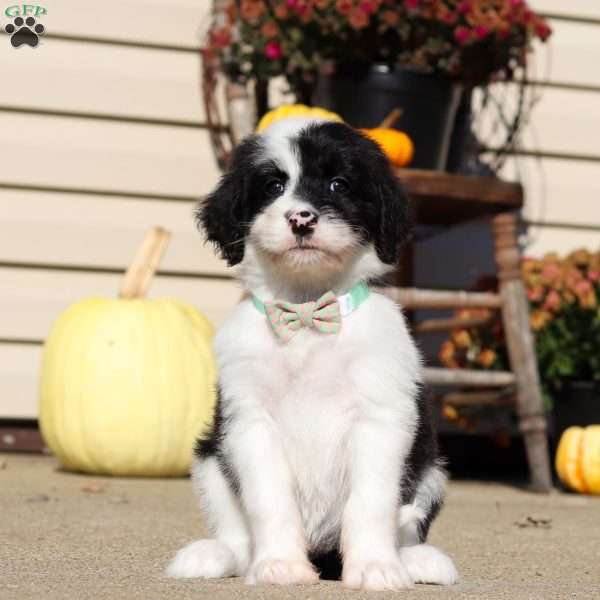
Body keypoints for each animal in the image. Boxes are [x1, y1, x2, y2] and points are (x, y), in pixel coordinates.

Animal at [166, 117, 458, 592]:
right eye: (273, 186)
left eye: (339, 184)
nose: (301, 218)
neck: (306, 317)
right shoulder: (249, 422)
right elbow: (270, 500)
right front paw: (279, 566)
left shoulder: (381, 417)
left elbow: (371, 502)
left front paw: (375, 567)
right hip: (208, 456)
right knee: (235, 533)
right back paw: (214, 555)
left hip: (432, 470)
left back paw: (419, 560)